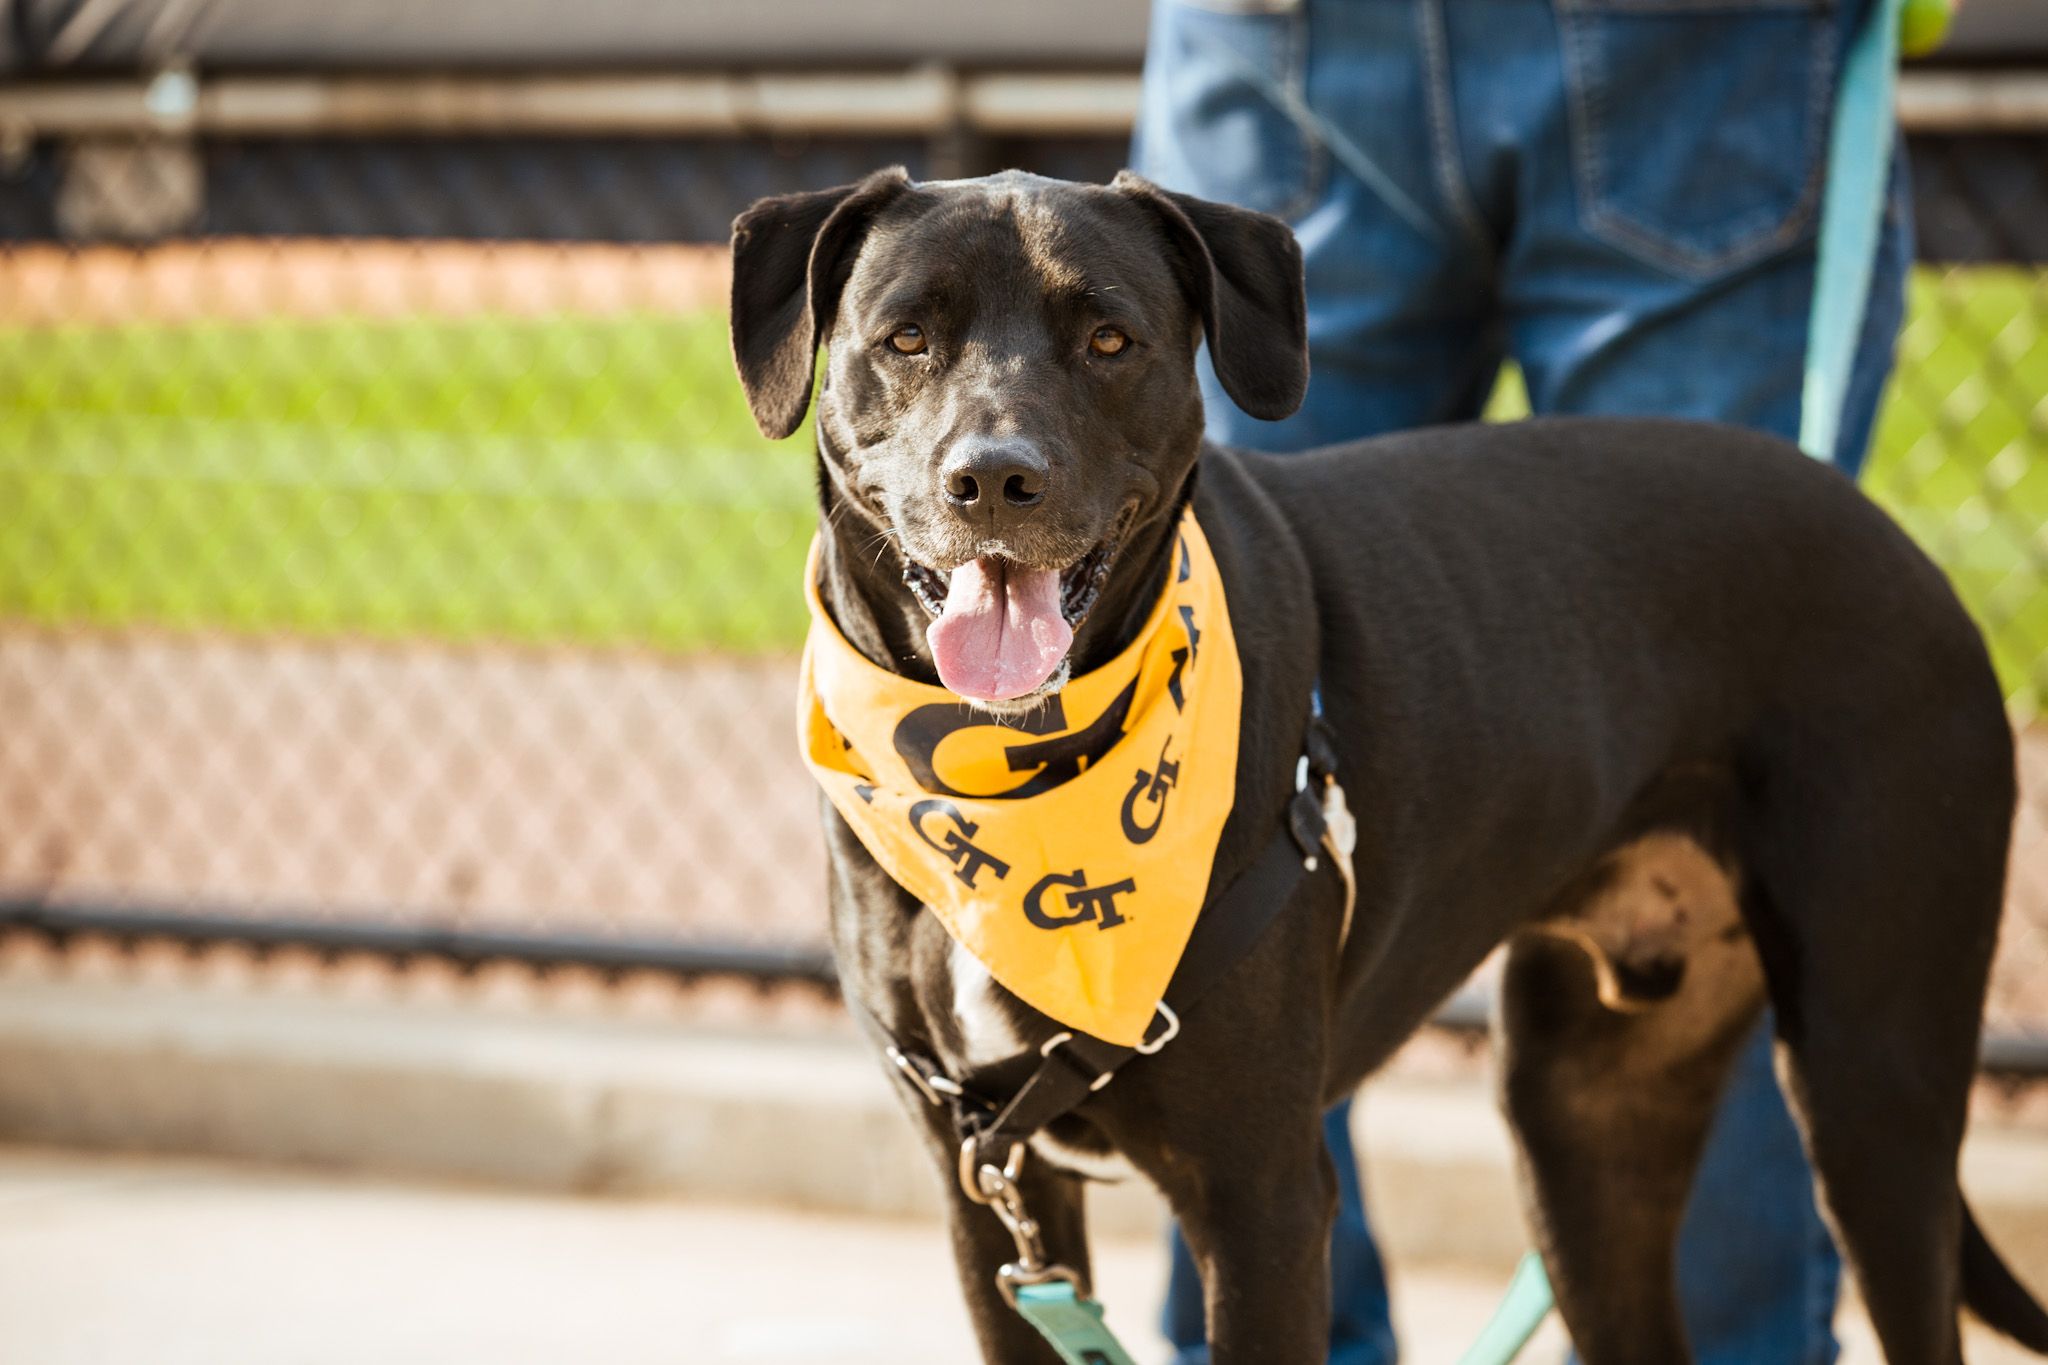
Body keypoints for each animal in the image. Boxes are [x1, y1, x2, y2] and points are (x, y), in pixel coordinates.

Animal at [729, 170, 2039, 1365]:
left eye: (1109, 338)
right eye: (906, 337)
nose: (995, 477)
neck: (1007, 771)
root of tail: (1899, 542)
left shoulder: (1260, 1201)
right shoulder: (990, 1201)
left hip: (1872, 1092)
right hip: (1582, 1121)